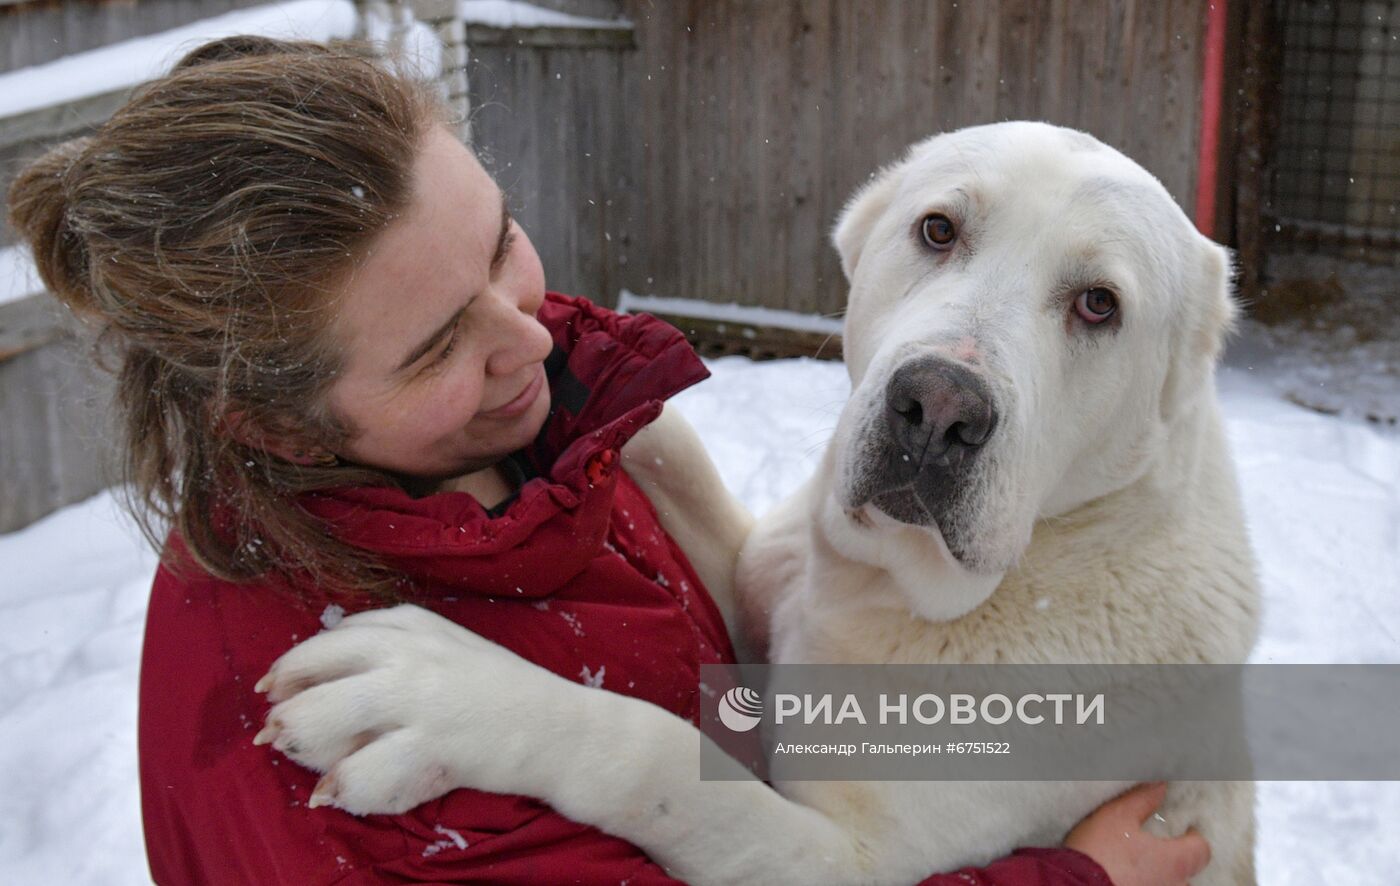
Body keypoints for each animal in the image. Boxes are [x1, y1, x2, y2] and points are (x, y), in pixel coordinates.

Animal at [257, 121, 1265, 879]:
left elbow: (658, 757)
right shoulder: (758, 586)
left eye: (1099, 305)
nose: (938, 409)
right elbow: (687, 474)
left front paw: (438, 698)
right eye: (939, 231)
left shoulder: (853, 861)